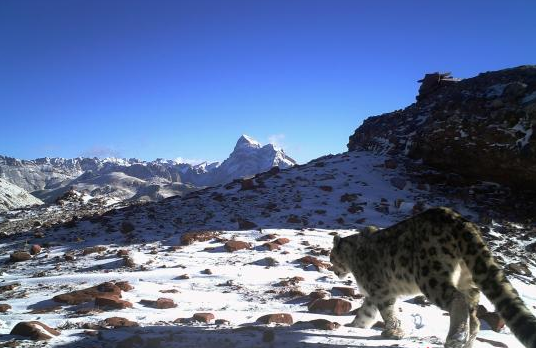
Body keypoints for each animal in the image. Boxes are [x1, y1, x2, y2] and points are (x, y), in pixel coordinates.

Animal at [330, 207, 536, 348]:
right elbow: (366, 312)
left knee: (457, 299)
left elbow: (388, 311)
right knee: (474, 314)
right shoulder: (373, 294)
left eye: (331, 257)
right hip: (467, 279)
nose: (333, 270)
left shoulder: (380, 289)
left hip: (430, 275)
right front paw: (354, 325)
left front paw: (393, 333)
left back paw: (453, 340)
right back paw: (466, 341)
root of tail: (460, 220)